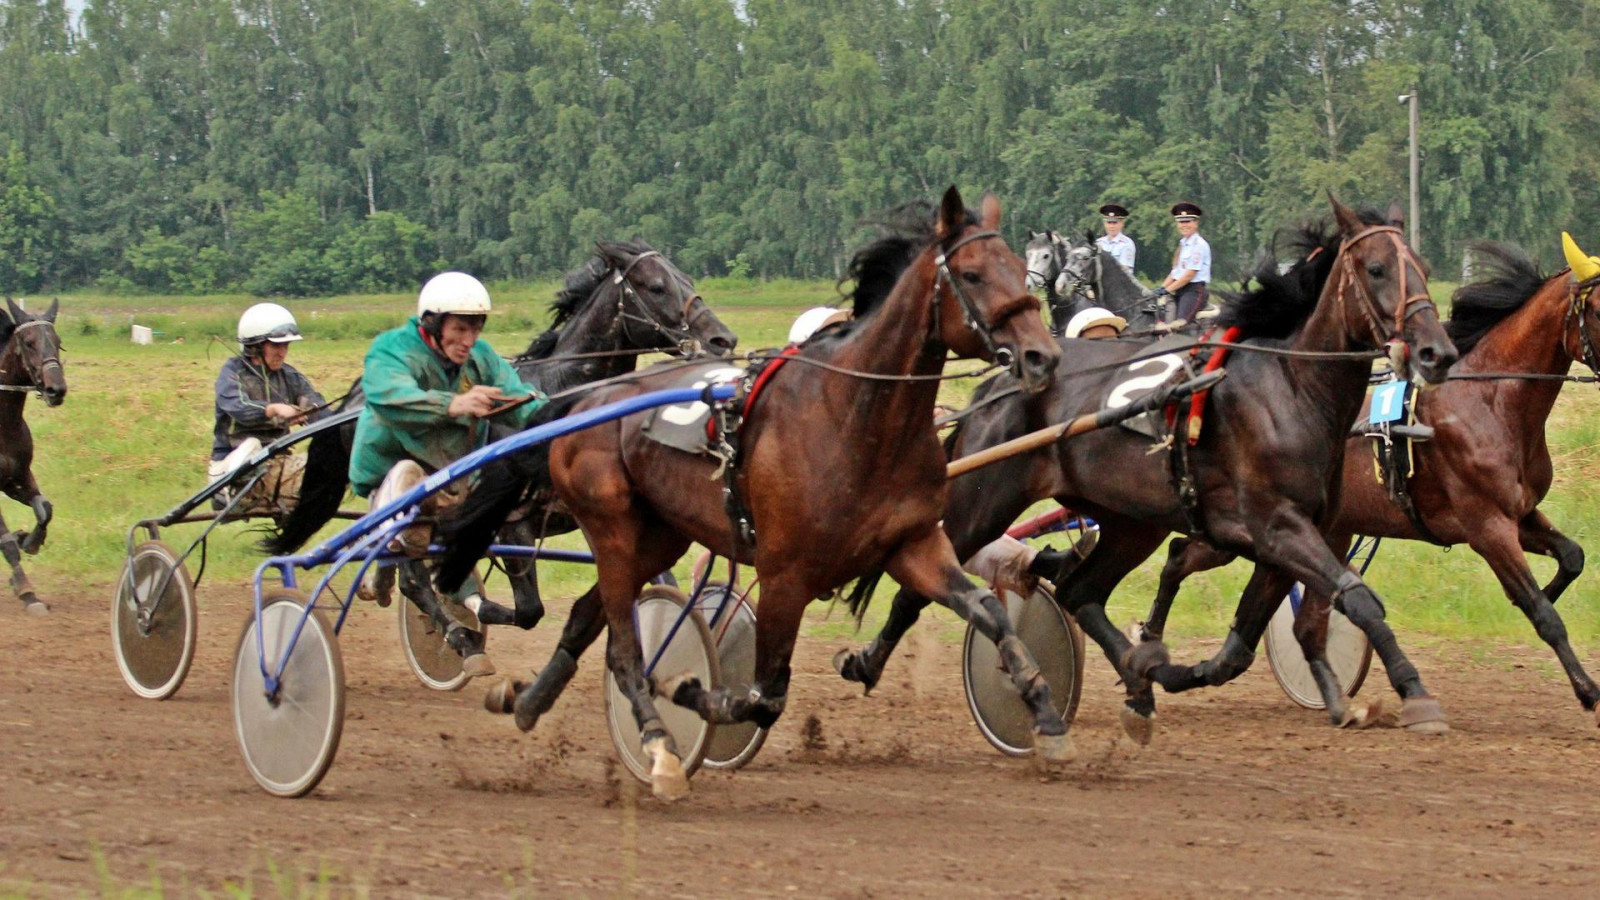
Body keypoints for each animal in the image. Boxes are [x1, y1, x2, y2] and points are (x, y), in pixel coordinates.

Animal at [262, 238, 736, 624]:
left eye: (687, 278)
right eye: (655, 286)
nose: (723, 340)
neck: (560, 393)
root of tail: (354, 398)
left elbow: (657, 579)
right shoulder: (513, 523)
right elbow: (528, 610)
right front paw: (470, 604)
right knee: (413, 577)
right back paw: (456, 632)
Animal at [441, 185, 1062, 794]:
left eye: (1019, 268)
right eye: (973, 274)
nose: (1043, 356)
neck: (854, 418)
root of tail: (584, 403)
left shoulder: (913, 544)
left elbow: (988, 609)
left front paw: (1045, 709)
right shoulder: (786, 574)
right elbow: (766, 695)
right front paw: (688, 692)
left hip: (657, 536)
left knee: (584, 616)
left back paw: (525, 701)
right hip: (611, 529)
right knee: (623, 650)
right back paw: (658, 746)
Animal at [838, 199, 1465, 739]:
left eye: (1423, 268)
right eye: (1377, 268)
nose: (1437, 352)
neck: (1286, 384)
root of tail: (998, 384)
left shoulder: (1286, 534)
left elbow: (1245, 643)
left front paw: (1182, 669)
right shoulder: (1276, 526)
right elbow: (1358, 598)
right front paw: (1416, 693)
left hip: (1129, 522)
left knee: (1079, 589)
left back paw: (1141, 680)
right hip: (984, 500)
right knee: (921, 586)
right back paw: (867, 662)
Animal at [1145, 237, 1600, 720]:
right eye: (1598, 308)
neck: (1487, 400)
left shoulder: (1520, 513)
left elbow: (1572, 558)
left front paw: (1551, 591)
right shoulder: (1486, 525)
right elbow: (1542, 613)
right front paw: (1587, 688)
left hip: (1320, 531)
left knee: (1281, 614)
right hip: (1242, 529)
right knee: (1179, 557)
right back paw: (1150, 641)